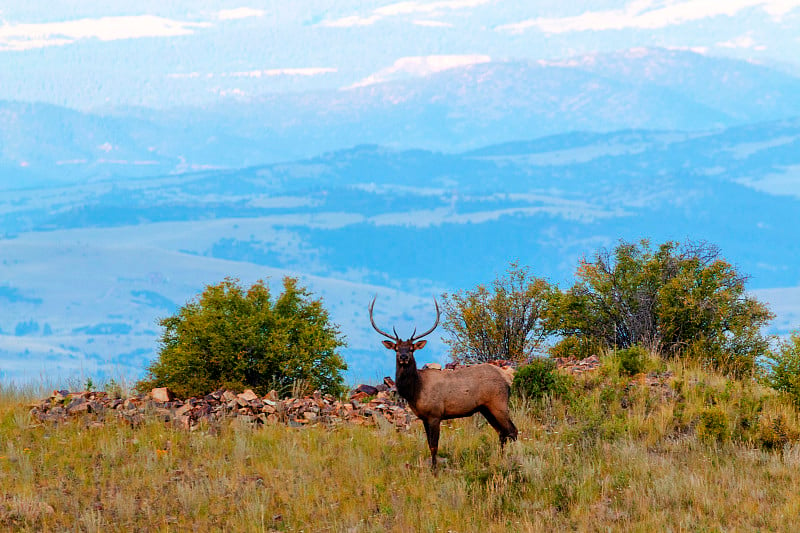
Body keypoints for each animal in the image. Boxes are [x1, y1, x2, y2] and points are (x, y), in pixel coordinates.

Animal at [370, 296, 520, 470]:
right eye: (396, 348)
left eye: (412, 349)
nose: (403, 357)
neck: (416, 390)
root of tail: (507, 379)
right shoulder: (423, 417)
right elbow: (429, 444)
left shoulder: (435, 414)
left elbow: (434, 445)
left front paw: (435, 470)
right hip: (485, 408)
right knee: (502, 433)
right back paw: (500, 459)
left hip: (499, 403)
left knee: (512, 431)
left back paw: (513, 460)